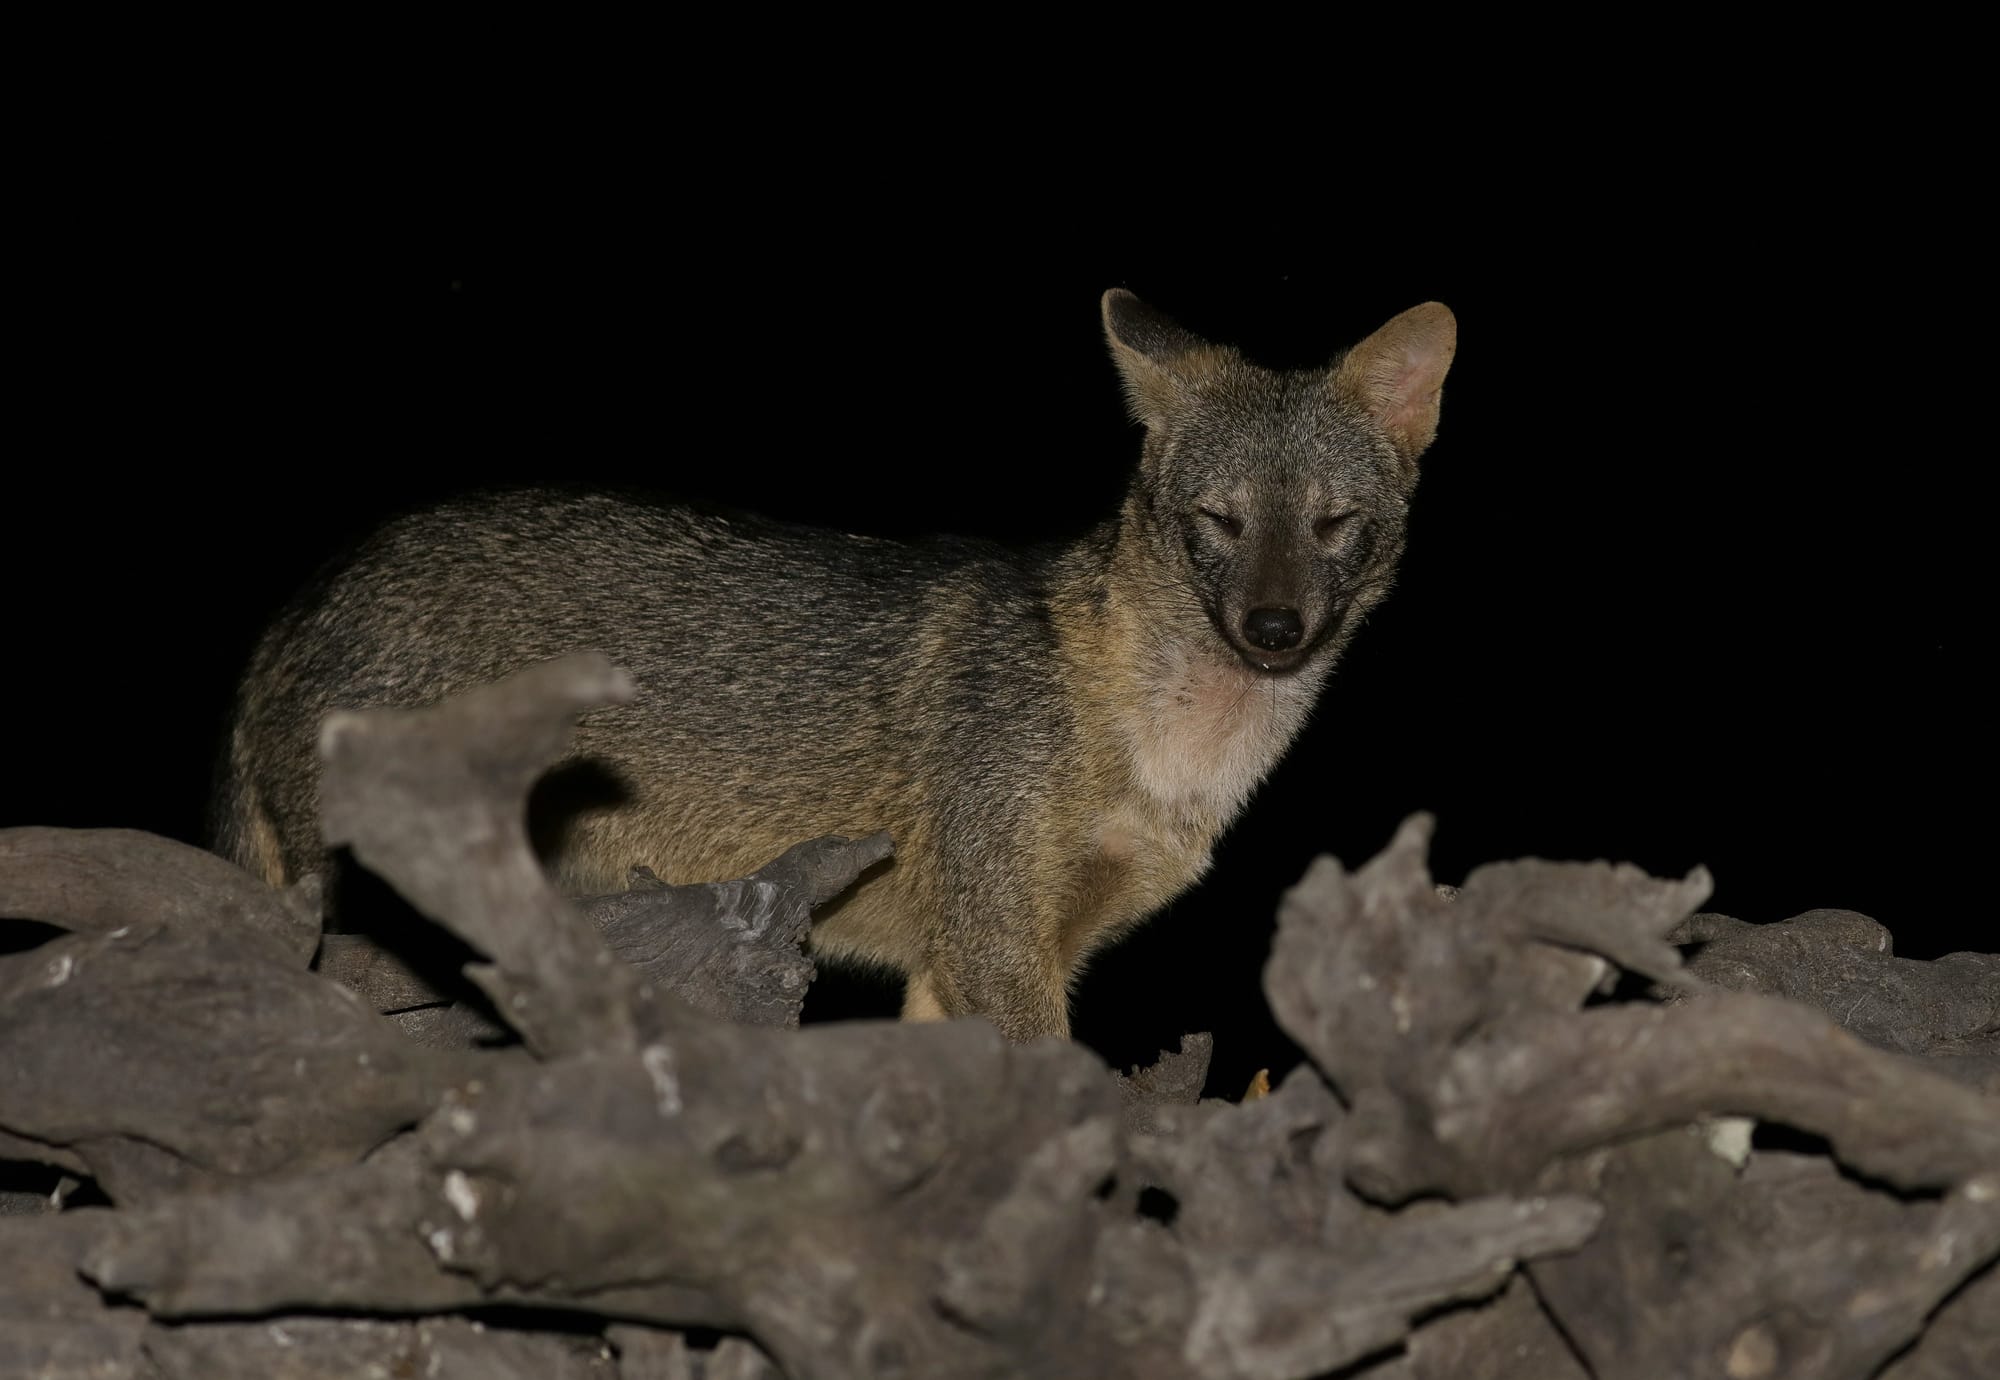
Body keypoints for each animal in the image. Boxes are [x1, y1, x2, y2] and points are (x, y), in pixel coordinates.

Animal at [215, 289, 1456, 1041]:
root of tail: (296, 611)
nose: (1273, 629)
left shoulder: (972, 963)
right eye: (1219, 521)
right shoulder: (996, 947)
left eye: (1331, 525)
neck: (1165, 744)